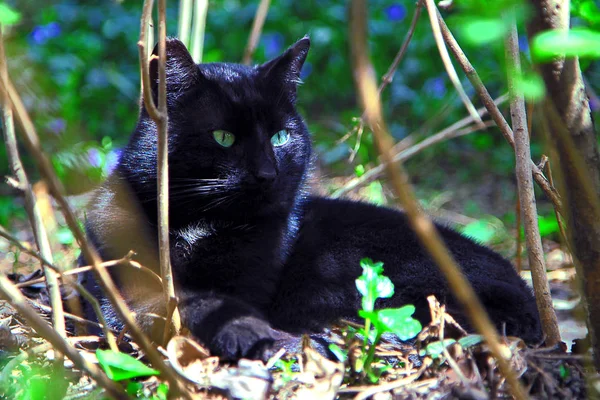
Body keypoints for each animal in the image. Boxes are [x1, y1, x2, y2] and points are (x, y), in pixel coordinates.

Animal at [81, 36, 544, 360]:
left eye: (280, 136)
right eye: (223, 137)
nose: (267, 174)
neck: (194, 222)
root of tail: (530, 303)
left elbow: (204, 302)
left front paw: (257, 336)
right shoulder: (108, 277)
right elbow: (161, 303)